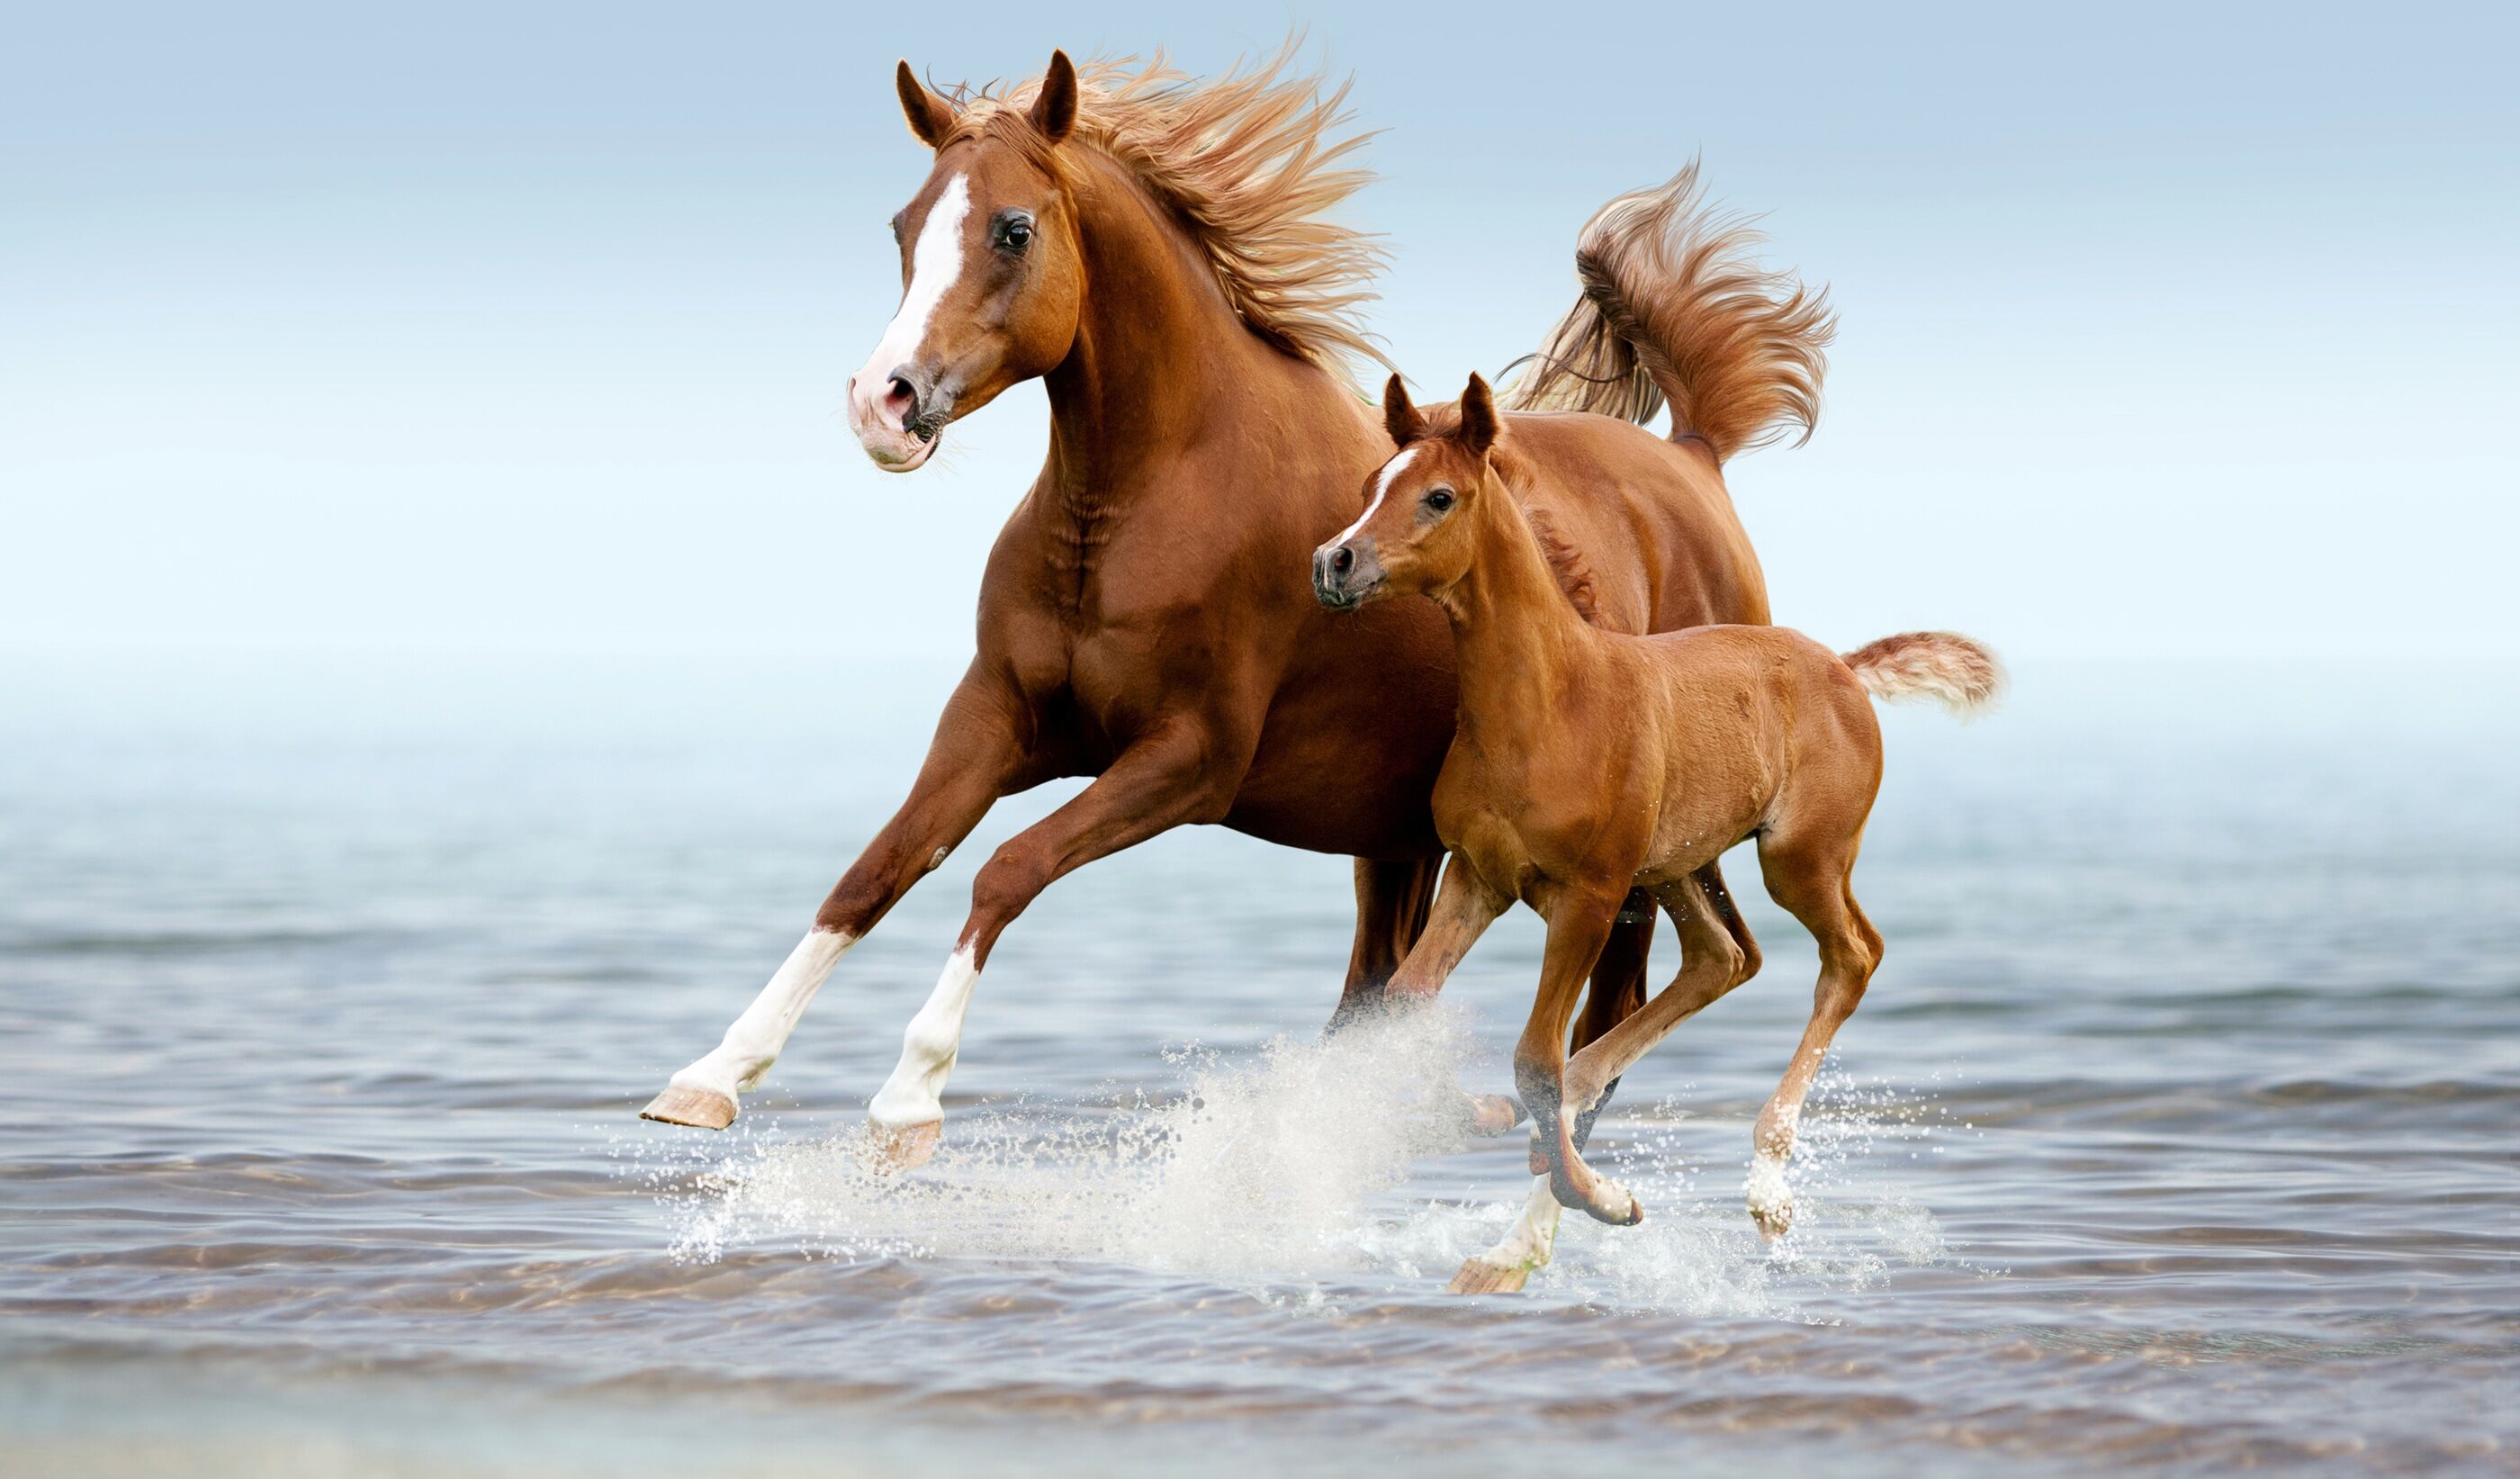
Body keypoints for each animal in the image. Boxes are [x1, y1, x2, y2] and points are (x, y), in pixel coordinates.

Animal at [640, 47, 1836, 1173]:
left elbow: (1005, 868)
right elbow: (877, 869)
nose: (882, 404)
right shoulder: (996, 719)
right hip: (1395, 837)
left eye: (1014, 230)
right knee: (1380, 991)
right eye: (903, 225)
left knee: (1622, 990)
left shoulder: (1187, 759)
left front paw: (908, 1098)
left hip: (1626, 845)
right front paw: (710, 1076)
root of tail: (1693, 459)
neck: (1139, 502)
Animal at [1314, 371, 2001, 1291]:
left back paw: (1766, 1186)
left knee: (1852, 955)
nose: (1335, 561)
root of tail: (1845, 669)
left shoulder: (1590, 897)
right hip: (1677, 865)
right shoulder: (1477, 876)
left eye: (1438, 496)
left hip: (1796, 859)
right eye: (1368, 487)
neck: (1548, 703)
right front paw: (1524, 1141)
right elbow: (1405, 1004)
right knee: (1722, 957)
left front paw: (1602, 1198)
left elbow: (1533, 1057)